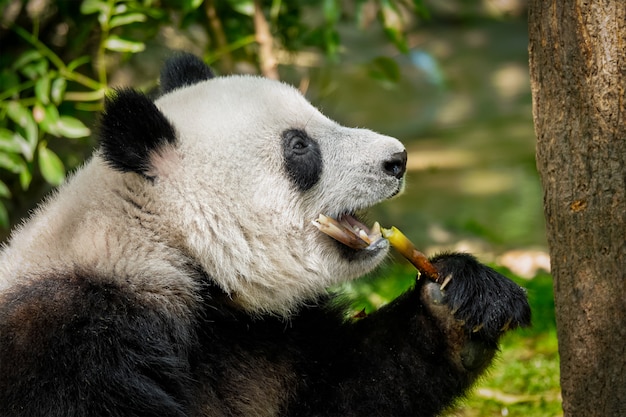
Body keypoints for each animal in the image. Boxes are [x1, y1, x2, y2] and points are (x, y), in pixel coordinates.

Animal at [0, 53, 528, 414]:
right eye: (299, 146)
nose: (397, 160)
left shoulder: (258, 336)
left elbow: (347, 387)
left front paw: (460, 300)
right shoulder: (69, 345)